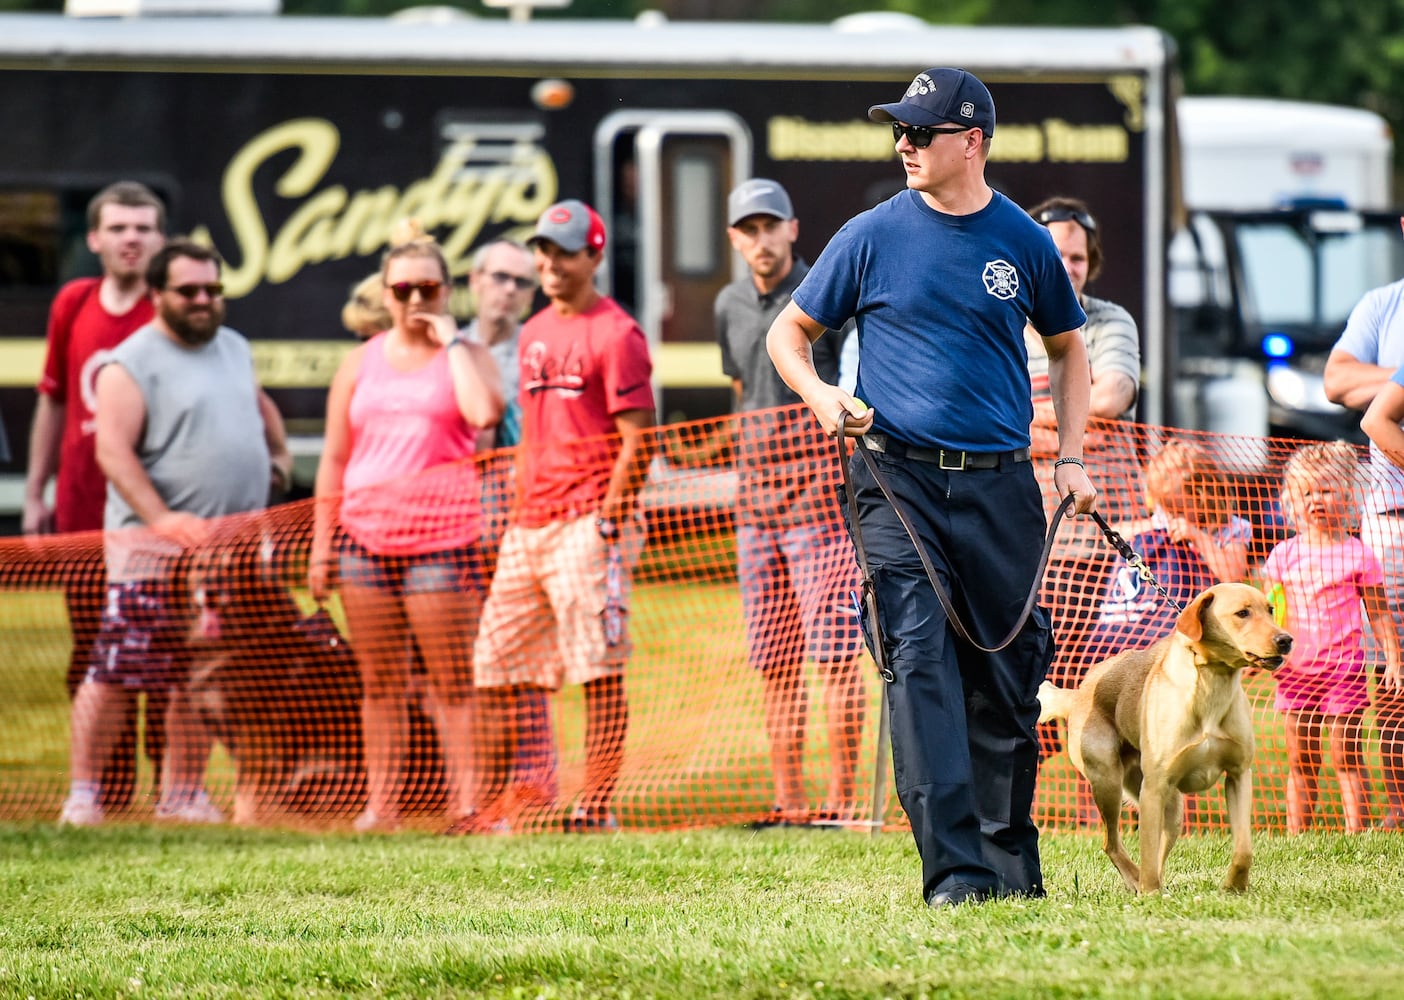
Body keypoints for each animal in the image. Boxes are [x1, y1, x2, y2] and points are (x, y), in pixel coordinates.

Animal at [1038, 581, 1286, 893]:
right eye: (1242, 613)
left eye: (1270, 610)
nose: (1286, 640)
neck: (1211, 684)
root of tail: (1079, 693)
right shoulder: (1154, 789)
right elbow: (1146, 852)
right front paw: (1150, 894)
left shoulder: (1239, 774)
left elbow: (1243, 848)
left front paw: (1234, 887)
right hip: (1108, 782)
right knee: (1112, 843)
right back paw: (1138, 882)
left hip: (1173, 808)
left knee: (1154, 853)